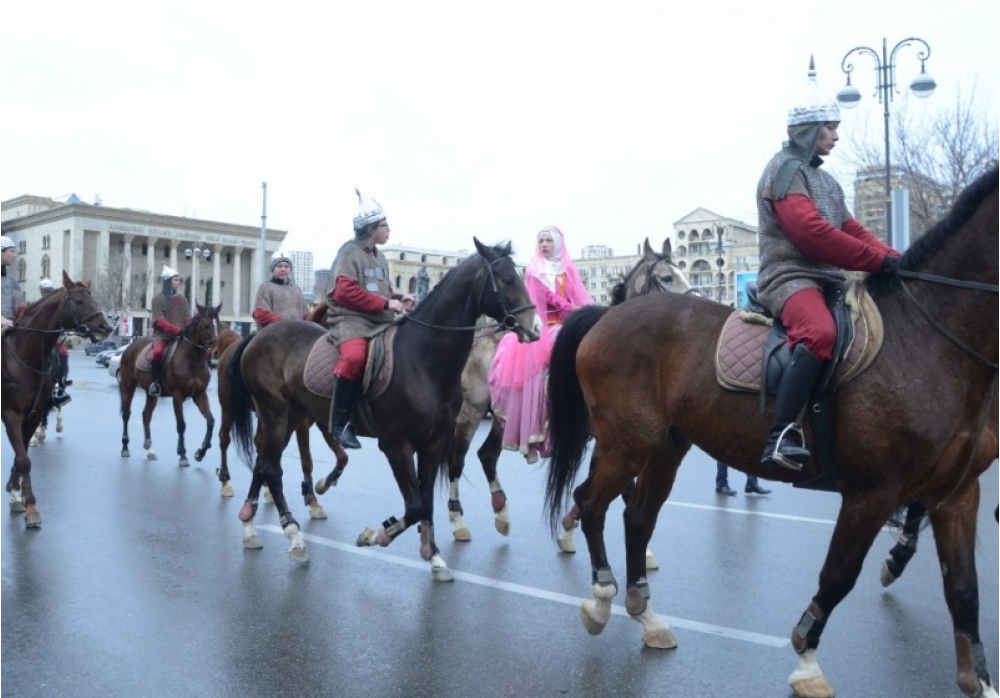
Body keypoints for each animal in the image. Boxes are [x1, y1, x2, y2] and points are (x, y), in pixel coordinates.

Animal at [1, 271, 112, 527]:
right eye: (79, 301)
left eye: (93, 299)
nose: (105, 327)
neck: (23, 358)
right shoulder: (11, 414)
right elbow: (23, 459)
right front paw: (30, 507)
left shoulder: (32, 415)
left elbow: (21, 455)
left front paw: (18, 496)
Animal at [117, 304, 221, 467]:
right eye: (206, 325)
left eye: (219, 324)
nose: (215, 351)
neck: (192, 360)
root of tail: (130, 346)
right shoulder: (178, 396)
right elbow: (181, 424)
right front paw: (183, 454)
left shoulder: (200, 394)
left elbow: (210, 421)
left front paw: (201, 452)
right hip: (128, 386)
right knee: (126, 414)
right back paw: (125, 446)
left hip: (151, 393)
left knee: (146, 415)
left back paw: (150, 449)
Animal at [227, 239, 536, 571]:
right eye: (506, 279)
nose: (533, 327)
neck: (423, 359)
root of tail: (258, 336)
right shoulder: (396, 444)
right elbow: (414, 505)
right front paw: (377, 535)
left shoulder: (434, 442)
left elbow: (426, 502)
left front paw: (434, 554)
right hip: (275, 412)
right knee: (272, 468)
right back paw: (293, 535)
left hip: (290, 415)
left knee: (263, 463)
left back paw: (249, 525)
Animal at [446, 237, 696, 554]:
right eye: (666, 277)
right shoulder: (613, 438)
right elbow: (619, 488)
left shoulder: (610, 439)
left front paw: (569, 528)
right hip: (472, 410)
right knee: (457, 460)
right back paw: (458, 521)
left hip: (505, 418)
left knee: (487, 455)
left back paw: (501, 512)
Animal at [544, 167, 998, 698]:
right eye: (665, 275)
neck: (928, 341)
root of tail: (605, 315)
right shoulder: (872, 493)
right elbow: (838, 576)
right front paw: (807, 662)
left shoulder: (957, 493)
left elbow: (964, 589)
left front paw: (980, 680)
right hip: (625, 444)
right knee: (592, 502)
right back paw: (600, 598)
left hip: (663, 448)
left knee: (636, 517)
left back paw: (646, 615)